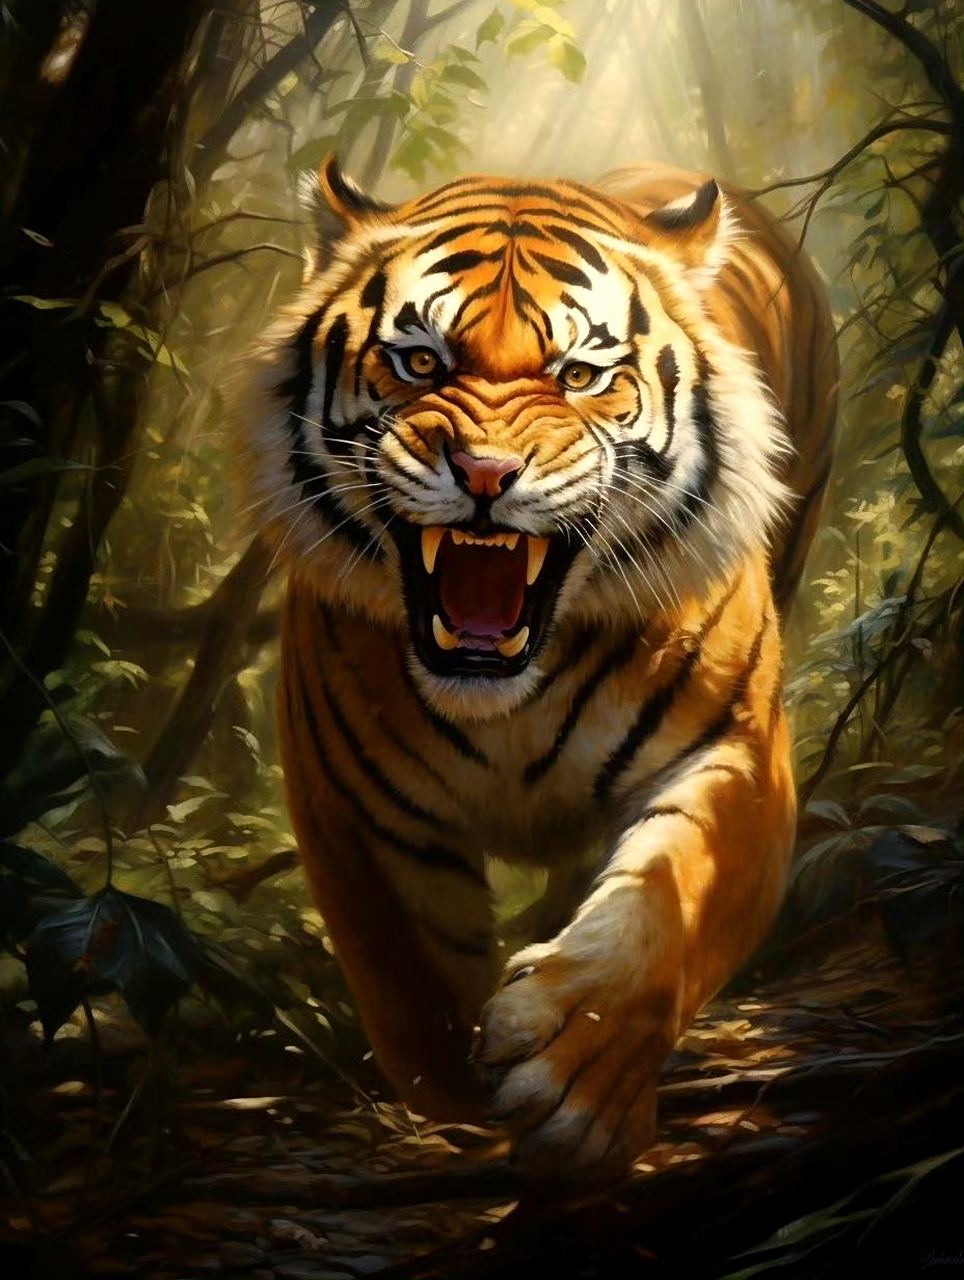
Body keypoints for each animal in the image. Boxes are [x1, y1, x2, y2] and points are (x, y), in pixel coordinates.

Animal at [237, 156, 837, 1182]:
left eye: (581, 375)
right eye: (421, 362)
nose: (484, 473)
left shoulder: (740, 754)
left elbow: (667, 907)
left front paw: (576, 1077)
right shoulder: (352, 806)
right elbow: (417, 990)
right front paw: (469, 1104)